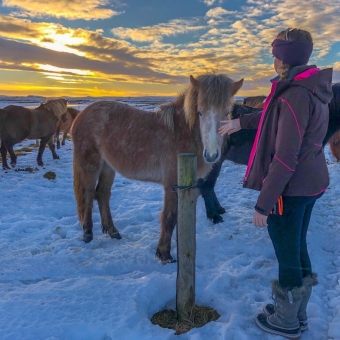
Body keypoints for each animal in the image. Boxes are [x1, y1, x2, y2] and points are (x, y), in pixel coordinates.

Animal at [71, 73, 243, 262]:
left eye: (226, 112)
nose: (211, 154)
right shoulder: (171, 185)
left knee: (102, 194)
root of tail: (81, 114)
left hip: (108, 167)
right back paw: (88, 234)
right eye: (200, 112)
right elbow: (169, 218)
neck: (181, 133)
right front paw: (164, 254)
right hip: (90, 164)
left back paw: (113, 232)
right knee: (88, 194)